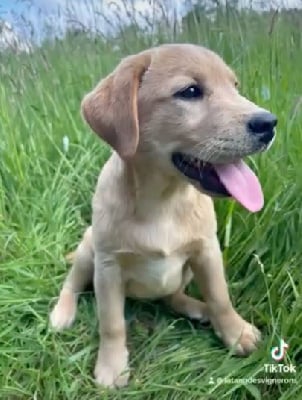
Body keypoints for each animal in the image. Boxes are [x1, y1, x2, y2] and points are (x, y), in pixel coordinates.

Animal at [49, 43, 276, 388]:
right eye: (190, 91)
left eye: (235, 87)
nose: (269, 123)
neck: (164, 201)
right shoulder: (107, 267)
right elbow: (111, 322)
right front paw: (111, 366)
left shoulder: (207, 251)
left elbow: (220, 297)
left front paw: (236, 332)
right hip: (88, 251)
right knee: (72, 284)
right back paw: (62, 313)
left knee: (173, 295)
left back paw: (199, 309)